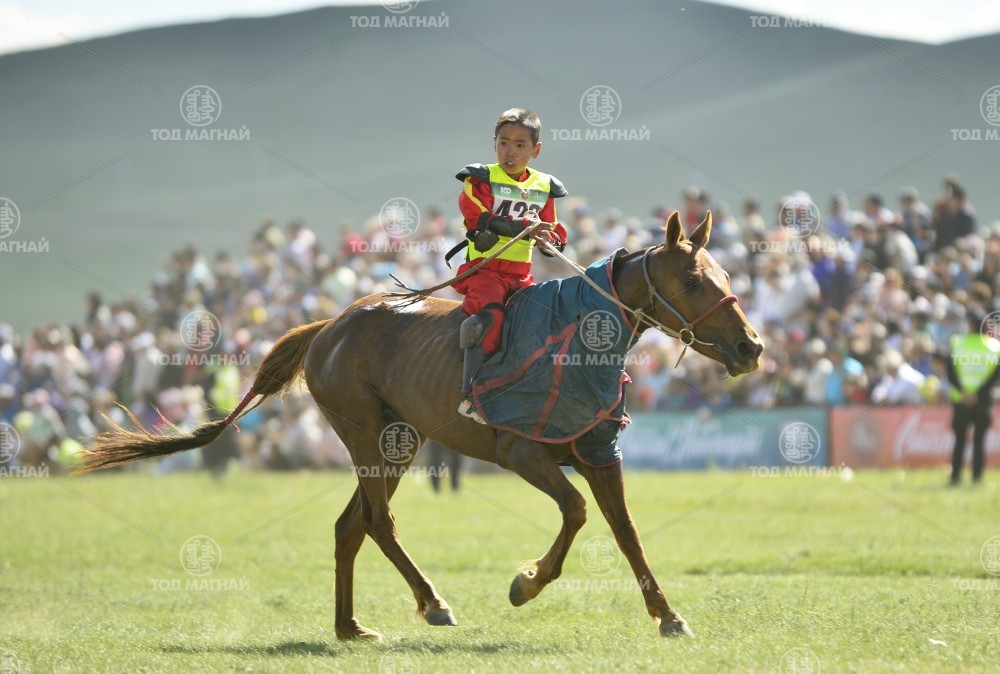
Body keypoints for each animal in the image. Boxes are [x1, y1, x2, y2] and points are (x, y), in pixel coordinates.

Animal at [77, 211, 763, 639]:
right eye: (694, 280)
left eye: (729, 276)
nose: (751, 347)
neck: (574, 338)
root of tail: (327, 327)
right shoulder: (524, 453)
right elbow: (574, 513)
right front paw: (526, 583)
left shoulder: (599, 453)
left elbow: (628, 534)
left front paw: (668, 616)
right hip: (366, 434)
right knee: (378, 522)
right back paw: (432, 602)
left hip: (400, 441)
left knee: (350, 525)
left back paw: (349, 626)